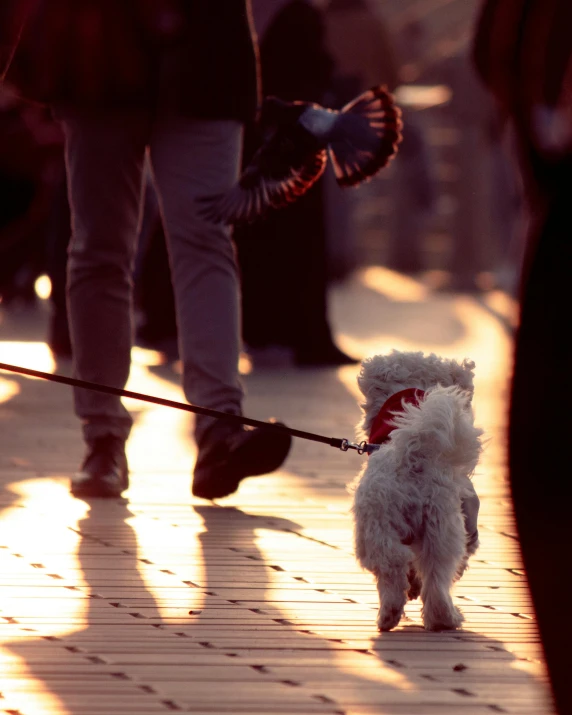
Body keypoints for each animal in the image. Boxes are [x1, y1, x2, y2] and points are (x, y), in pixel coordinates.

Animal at [348, 352, 482, 632]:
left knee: (395, 565)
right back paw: (442, 618)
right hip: (441, 530)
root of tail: (413, 455)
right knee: (433, 576)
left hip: (380, 528)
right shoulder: (470, 529)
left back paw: (392, 614)